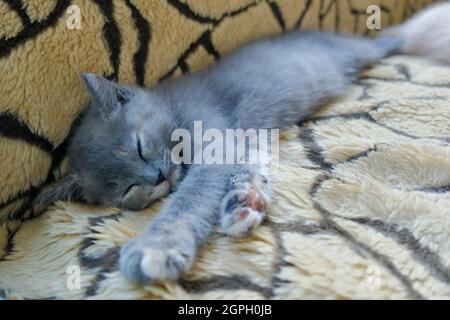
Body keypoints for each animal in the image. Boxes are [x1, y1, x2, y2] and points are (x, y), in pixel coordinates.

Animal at [37, 31, 398, 284]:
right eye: (126, 189)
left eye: (138, 146)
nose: (156, 177)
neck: (172, 107)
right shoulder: (243, 141)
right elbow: (251, 162)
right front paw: (246, 200)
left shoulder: (216, 142)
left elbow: (190, 198)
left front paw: (155, 248)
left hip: (358, 50)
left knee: (389, 39)